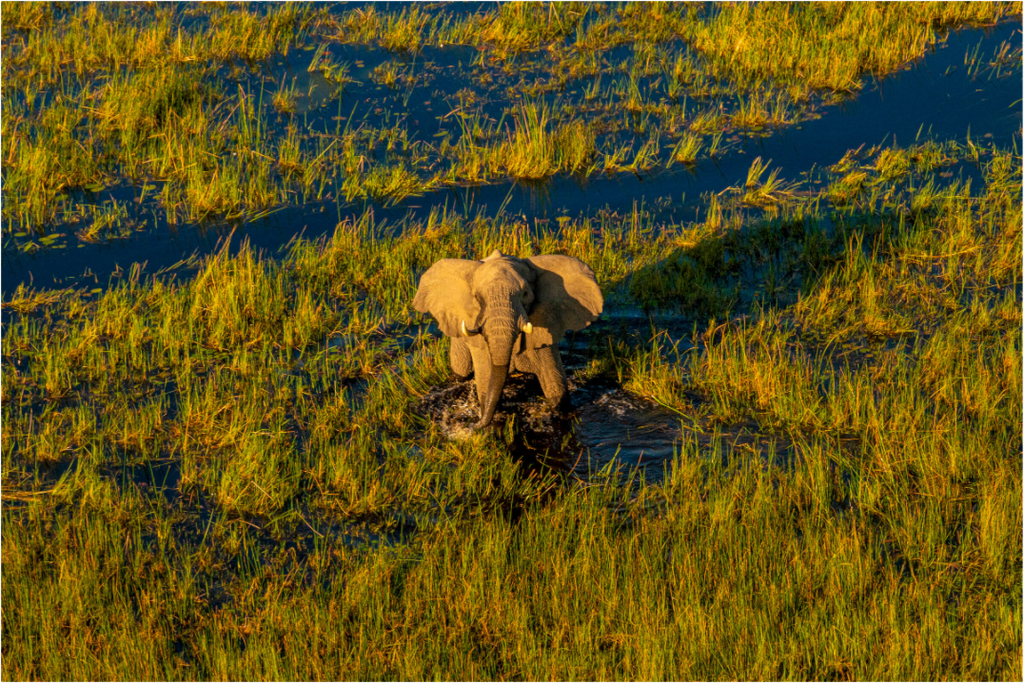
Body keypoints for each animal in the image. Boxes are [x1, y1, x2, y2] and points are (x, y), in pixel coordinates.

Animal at [413, 249, 603, 428]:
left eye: (525, 293)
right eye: (477, 297)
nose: (477, 424)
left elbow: (556, 385)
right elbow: (485, 383)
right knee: (462, 370)